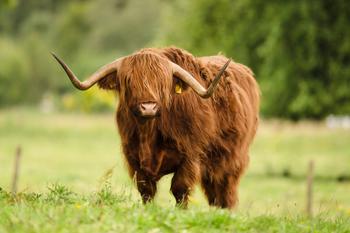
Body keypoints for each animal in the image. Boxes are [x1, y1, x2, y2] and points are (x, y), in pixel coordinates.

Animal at [52, 46, 260, 208]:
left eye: (162, 82)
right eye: (128, 81)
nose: (148, 107)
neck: (149, 133)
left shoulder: (191, 156)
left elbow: (179, 189)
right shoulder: (134, 159)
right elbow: (146, 190)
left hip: (232, 161)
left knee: (226, 194)